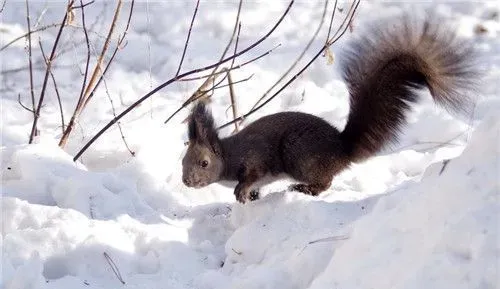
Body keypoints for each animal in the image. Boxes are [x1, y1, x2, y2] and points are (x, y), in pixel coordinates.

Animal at [182, 13, 478, 202]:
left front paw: (242, 191)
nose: (186, 181)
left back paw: (305, 189)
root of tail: (342, 149)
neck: (229, 154)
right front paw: (250, 195)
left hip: (299, 155)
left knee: (326, 182)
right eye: (183, 161)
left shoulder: (255, 158)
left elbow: (252, 174)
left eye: (204, 163)